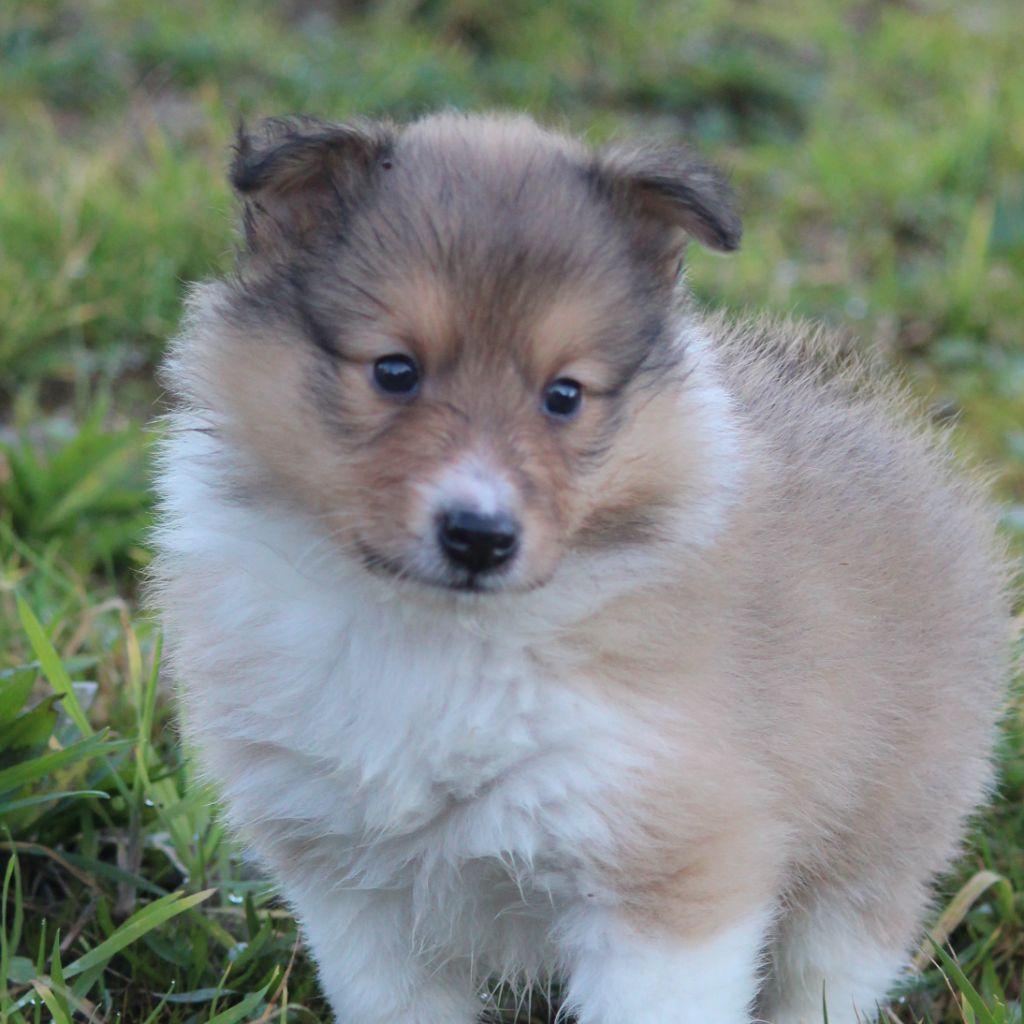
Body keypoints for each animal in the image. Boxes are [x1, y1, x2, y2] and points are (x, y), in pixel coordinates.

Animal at [151, 112, 1007, 1024]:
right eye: (394, 371)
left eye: (563, 395)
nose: (479, 537)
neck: (443, 636)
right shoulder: (355, 893)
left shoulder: (669, 869)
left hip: (876, 848)